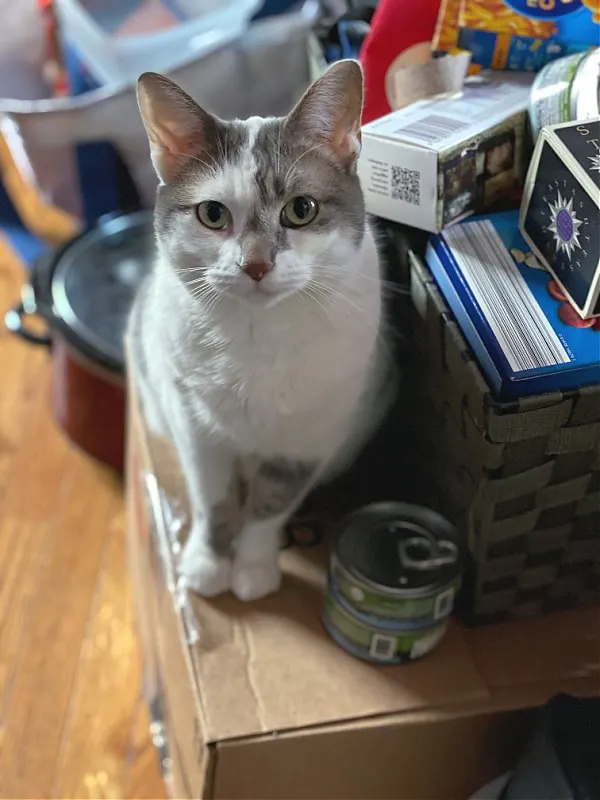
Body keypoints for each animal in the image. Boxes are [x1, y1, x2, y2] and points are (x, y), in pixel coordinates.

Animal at [129, 61, 394, 600]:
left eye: (301, 209)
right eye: (212, 214)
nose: (255, 265)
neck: (259, 337)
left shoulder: (309, 441)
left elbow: (271, 508)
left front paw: (252, 568)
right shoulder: (196, 429)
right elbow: (213, 501)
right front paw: (207, 564)